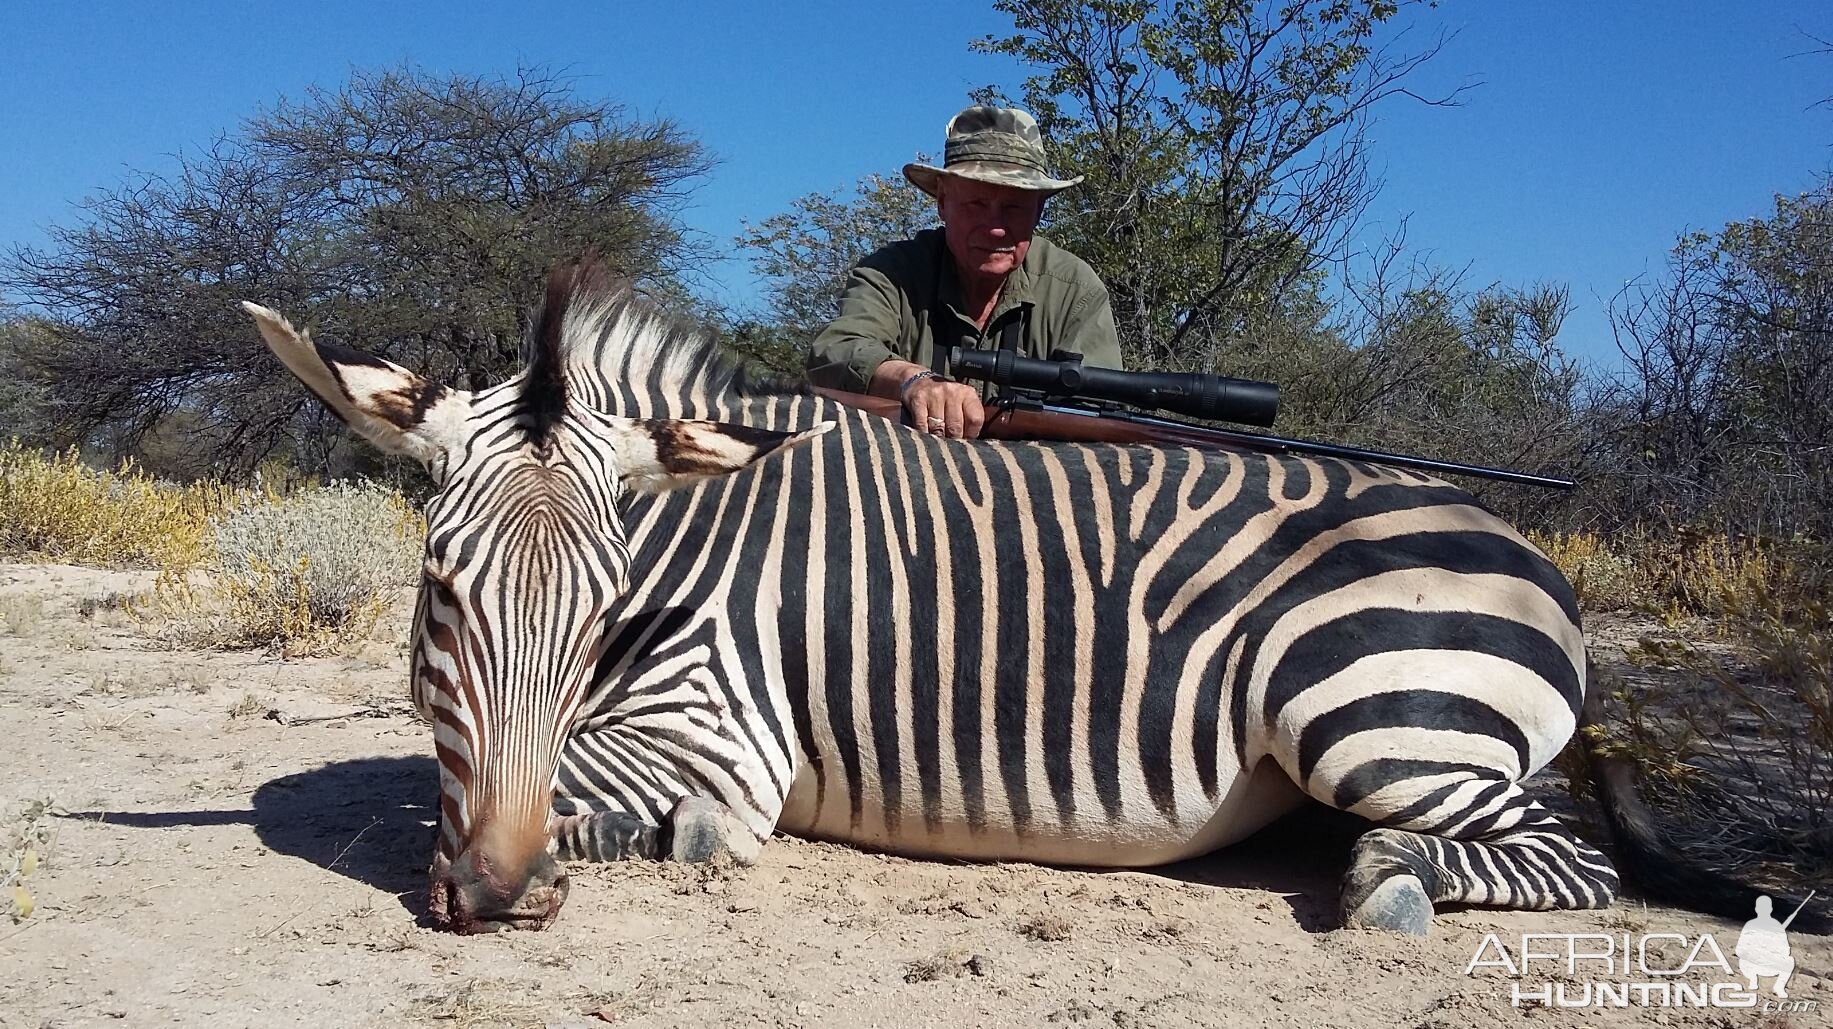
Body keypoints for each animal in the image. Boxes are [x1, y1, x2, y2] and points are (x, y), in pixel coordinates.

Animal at [243, 256, 1635, 931]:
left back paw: (1389, 875)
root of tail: (1528, 549)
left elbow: (609, 802)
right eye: (439, 592)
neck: (690, 533)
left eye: (602, 605)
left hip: (1370, 712)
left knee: (1574, 857)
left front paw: (671, 835)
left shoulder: (722, 729)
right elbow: (446, 775)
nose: (499, 895)